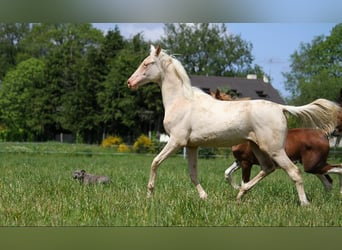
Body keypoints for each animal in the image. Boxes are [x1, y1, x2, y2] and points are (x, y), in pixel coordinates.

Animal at [127, 45, 340, 205]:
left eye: (147, 63)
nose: (130, 82)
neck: (182, 101)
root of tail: (281, 108)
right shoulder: (192, 146)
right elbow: (193, 174)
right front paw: (205, 197)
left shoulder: (176, 141)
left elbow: (155, 162)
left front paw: (149, 195)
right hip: (259, 148)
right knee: (268, 168)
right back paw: (240, 194)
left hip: (276, 150)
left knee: (295, 172)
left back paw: (304, 204)